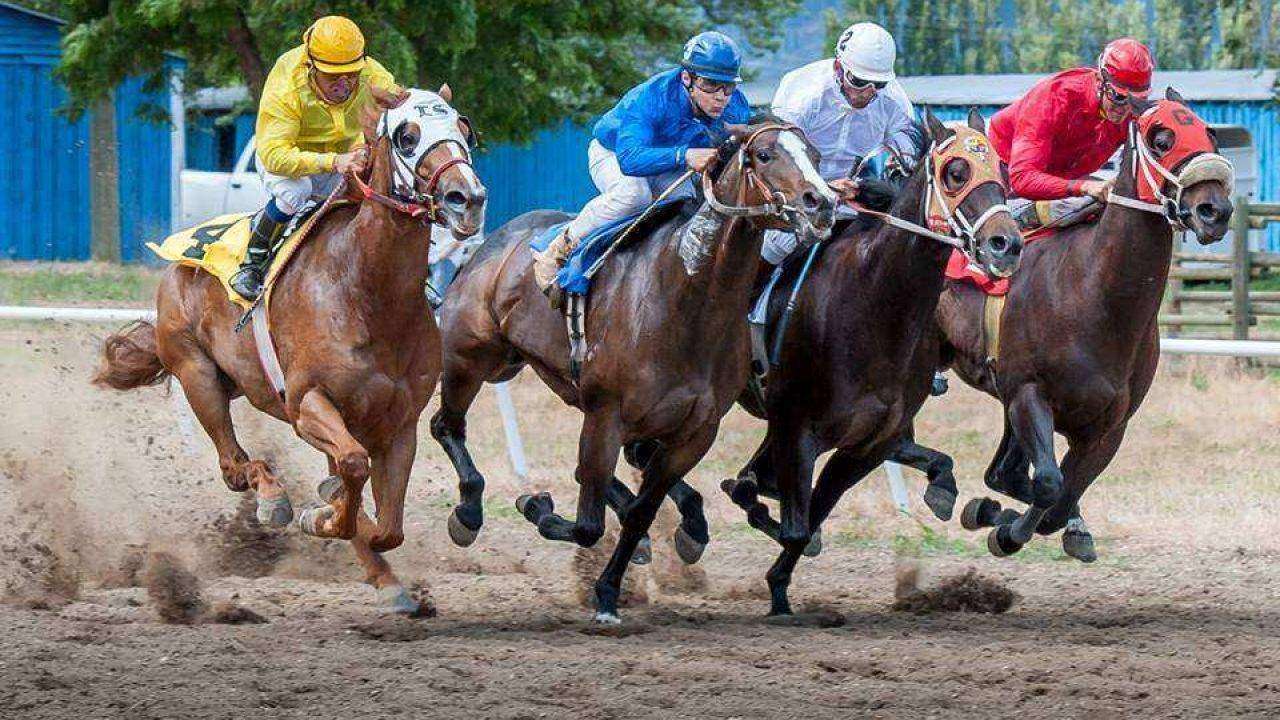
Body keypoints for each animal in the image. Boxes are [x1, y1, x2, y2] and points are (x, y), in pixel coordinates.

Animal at [92, 85, 483, 609]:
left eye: (464, 129)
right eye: (407, 136)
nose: (468, 199)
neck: (368, 293)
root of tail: (179, 260)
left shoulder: (399, 424)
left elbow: (388, 526)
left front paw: (346, 522)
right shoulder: (306, 403)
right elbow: (354, 470)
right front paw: (317, 515)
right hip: (198, 374)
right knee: (234, 467)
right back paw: (274, 500)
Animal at [432, 120, 839, 620]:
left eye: (816, 155)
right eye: (763, 154)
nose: (821, 203)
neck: (687, 300)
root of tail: (492, 242)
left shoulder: (695, 431)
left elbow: (641, 510)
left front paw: (609, 589)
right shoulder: (607, 412)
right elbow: (587, 524)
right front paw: (536, 505)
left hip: (549, 375)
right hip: (469, 357)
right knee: (446, 425)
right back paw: (467, 513)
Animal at [727, 109, 1024, 614]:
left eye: (1002, 172)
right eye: (956, 172)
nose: (1005, 243)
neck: (872, 304)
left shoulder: (867, 445)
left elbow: (807, 516)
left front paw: (779, 583)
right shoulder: (797, 428)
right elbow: (790, 519)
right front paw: (780, 598)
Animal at [896, 89, 1233, 561]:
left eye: (1210, 134)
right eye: (1160, 138)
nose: (1214, 211)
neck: (1096, 297)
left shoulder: (1108, 427)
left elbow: (1055, 498)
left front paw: (1013, 519)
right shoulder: (1028, 394)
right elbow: (1048, 484)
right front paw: (1004, 530)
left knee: (999, 473)